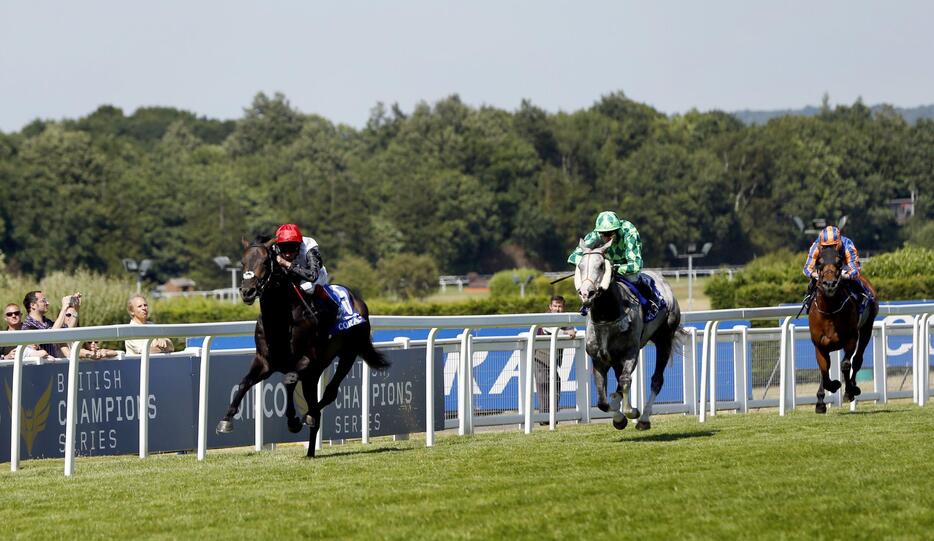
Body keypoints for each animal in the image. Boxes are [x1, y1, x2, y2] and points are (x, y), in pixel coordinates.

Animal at [217, 236, 392, 456]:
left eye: (265, 262)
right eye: (242, 262)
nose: (247, 291)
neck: (280, 320)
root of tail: (358, 300)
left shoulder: (306, 359)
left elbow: (289, 382)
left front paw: (293, 420)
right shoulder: (265, 362)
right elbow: (244, 383)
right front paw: (226, 420)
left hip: (347, 355)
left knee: (329, 393)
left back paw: (307, 417)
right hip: (314, 373)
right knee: (314, 405)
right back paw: (309, 451)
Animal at [576, 240, 684, 430]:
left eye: (601, 265)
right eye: (580, 266)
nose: (586, 293)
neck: (606, 317)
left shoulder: (630, 352)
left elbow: (625, 380)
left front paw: (630, 412)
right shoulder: (599, 359)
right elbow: (602, 402)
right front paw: (618, 418)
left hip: (664, 339)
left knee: (656, 380)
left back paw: (644, 419)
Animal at [808, 245, 880, 414]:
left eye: (839, 263)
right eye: (819, 263)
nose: (829, 283)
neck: (829, 312)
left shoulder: (850, 339)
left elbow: (846, 365)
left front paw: (849, 391)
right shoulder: (820, 346)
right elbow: (824, 370)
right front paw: (823, 399)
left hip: (867, 328)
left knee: (857, 360)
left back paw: (852, 389)